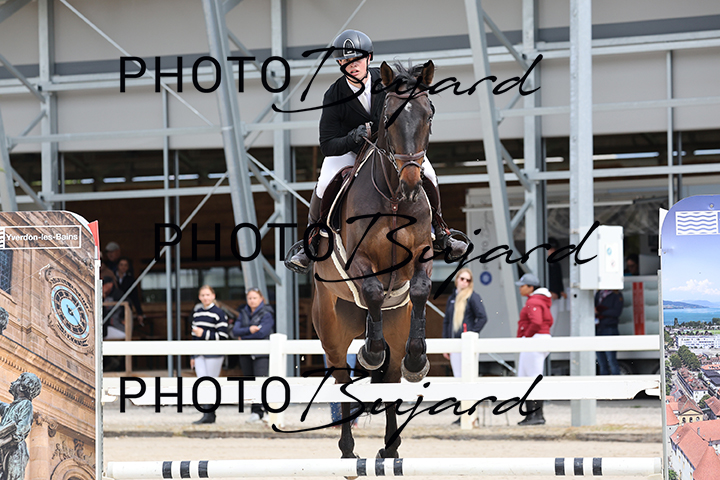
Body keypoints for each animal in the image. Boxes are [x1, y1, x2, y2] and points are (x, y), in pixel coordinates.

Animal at [312, 60, 436, 460]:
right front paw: (369, 353)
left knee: (392, 375)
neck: (394, 198)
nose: (412, 182)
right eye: (388, 119)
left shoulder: (422, 256)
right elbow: (372, 290)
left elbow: (420, 289)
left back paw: (391, 447)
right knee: (340, 378)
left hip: (397, 324)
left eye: (428, 114)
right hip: (331, 331)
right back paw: (348, 448)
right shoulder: (358, 261)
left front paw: (418, 360)